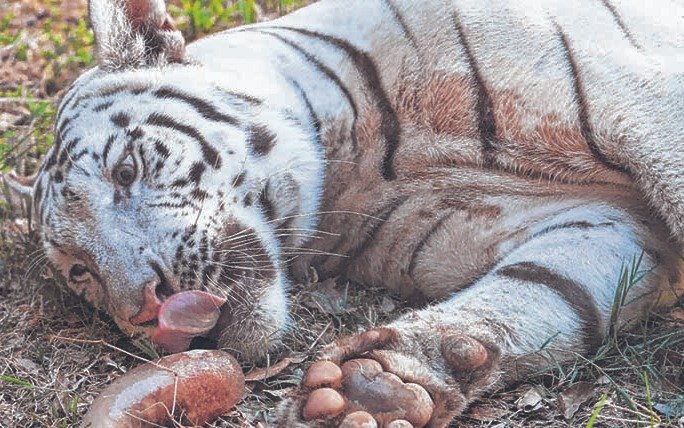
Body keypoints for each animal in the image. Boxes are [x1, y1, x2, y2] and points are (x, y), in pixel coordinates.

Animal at [5, 0, 684, 424]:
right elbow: (540, 292)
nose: (147, 311)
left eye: (125, 171)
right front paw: (378, 388)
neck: (355, 159)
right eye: (82, 274)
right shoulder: (601, 222)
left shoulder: (644, 99)